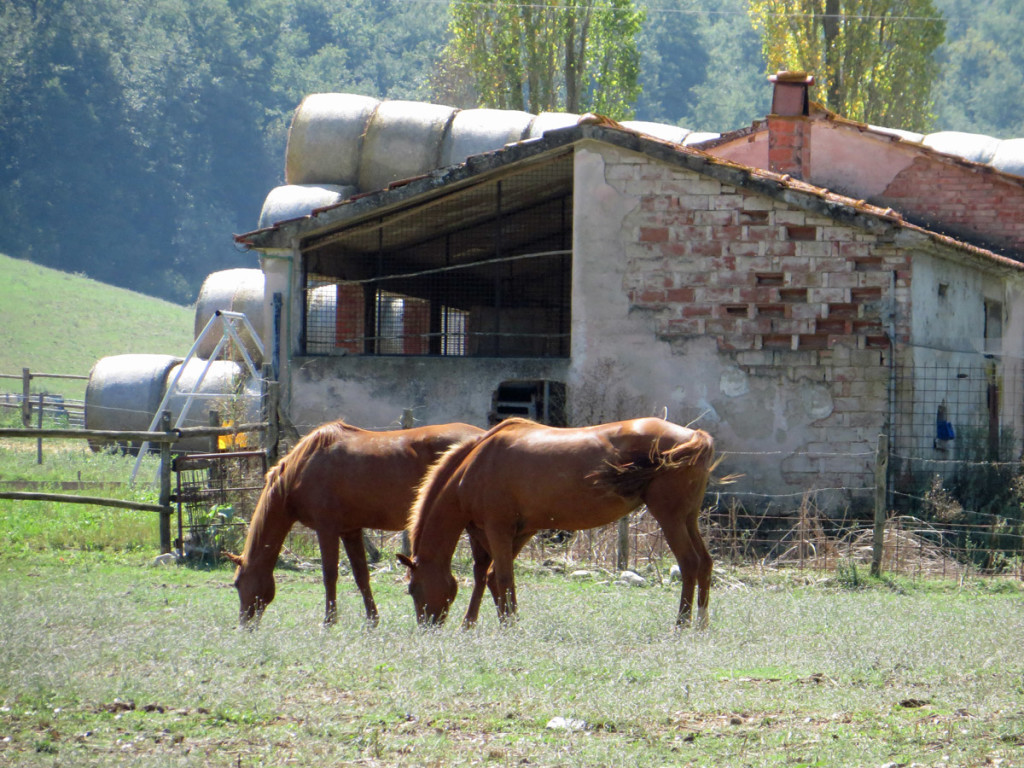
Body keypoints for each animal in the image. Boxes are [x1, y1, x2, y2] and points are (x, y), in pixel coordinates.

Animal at [222, 421, 481, 630]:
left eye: (236, 583)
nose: (244, 625)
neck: (302, 469)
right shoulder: (351, 531)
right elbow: (361, 576)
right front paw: (372, 620)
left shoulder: (326, 529)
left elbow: (330, 574)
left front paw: (329, 621)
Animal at [395, 421, 716, 630]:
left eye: (412, 589)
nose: (427, 628)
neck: (475, 466)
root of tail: (695, 436)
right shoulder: (509, 533)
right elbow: (487, 576)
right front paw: (479, 623)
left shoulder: (499, 530)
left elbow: (502, 577)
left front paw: (509, 625)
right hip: (687, 518)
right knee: (704, 562)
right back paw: (701, 622)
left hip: (670, 518)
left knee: (689, 562)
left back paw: (682, 624)